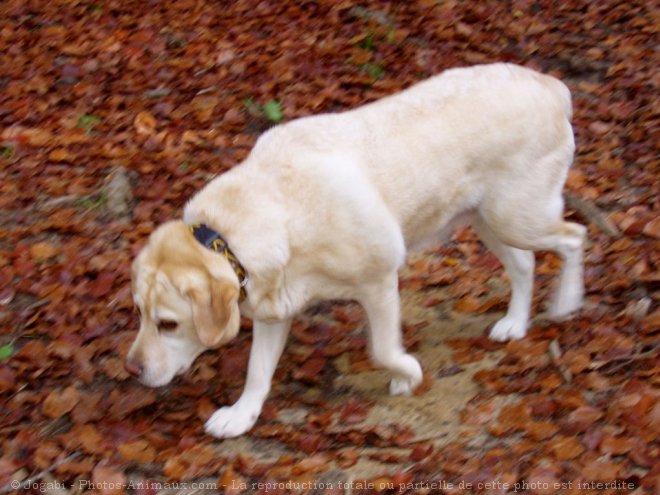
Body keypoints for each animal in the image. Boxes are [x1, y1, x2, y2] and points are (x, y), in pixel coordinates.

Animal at [126, 64, 584, 440]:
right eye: (140, 314)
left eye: (168, 324)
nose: (131, 369)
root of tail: (552, 85)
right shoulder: (276, 306)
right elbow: (257, 372)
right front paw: (241, 416)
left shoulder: (379, 282)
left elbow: (382, 350)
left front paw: (408, 376)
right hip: (488, 220)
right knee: (525, 265)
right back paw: (515, 324)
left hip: (518, 217)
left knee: (575, 236)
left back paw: (566, 302)